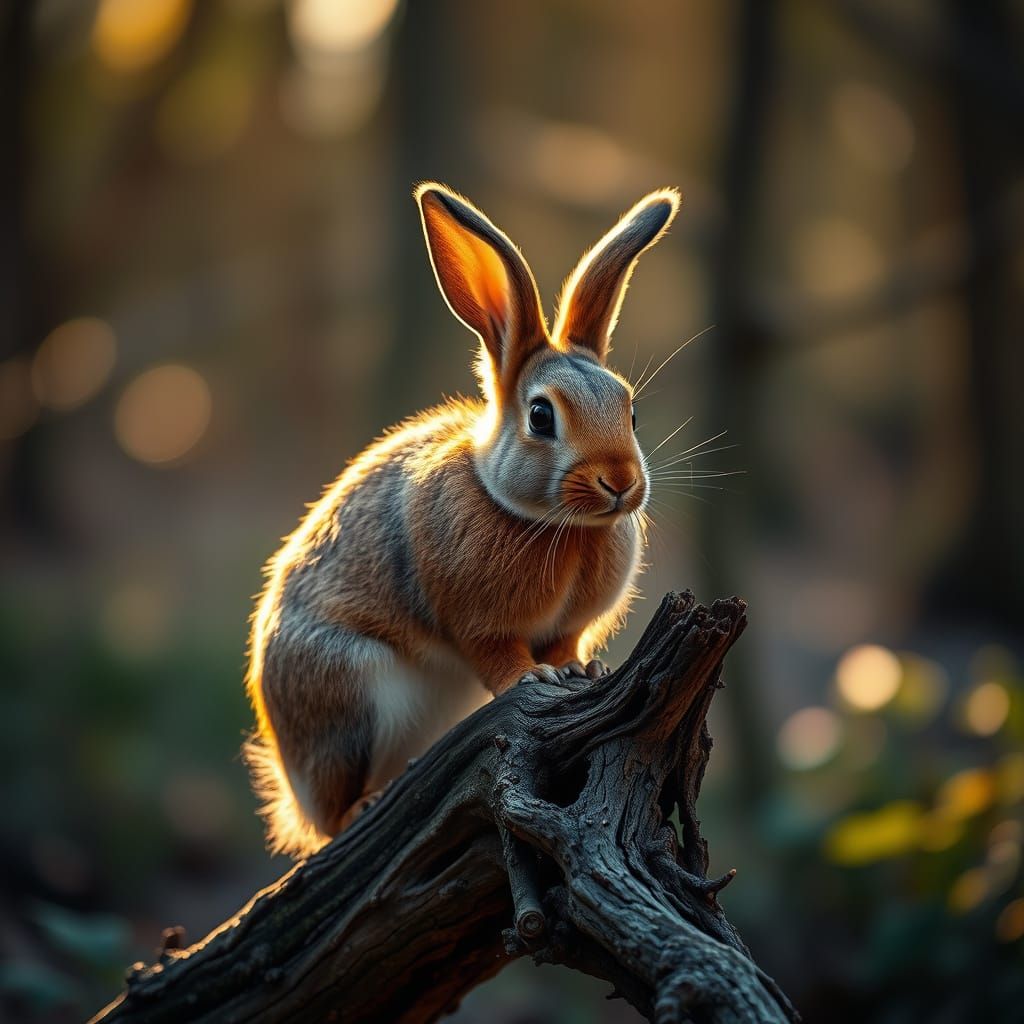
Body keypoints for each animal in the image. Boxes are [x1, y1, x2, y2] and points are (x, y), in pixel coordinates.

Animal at [244, 182, 681, 857]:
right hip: (348, 694)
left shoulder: (567, 625)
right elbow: (500, 659)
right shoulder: (479, 626)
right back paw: (362, 806)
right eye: (541, 417)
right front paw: (536, 679)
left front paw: (582, 670)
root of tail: (295, 791)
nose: (621, 483)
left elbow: (567, 644)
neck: (552, 522)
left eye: (630, 411)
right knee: (334, 814)